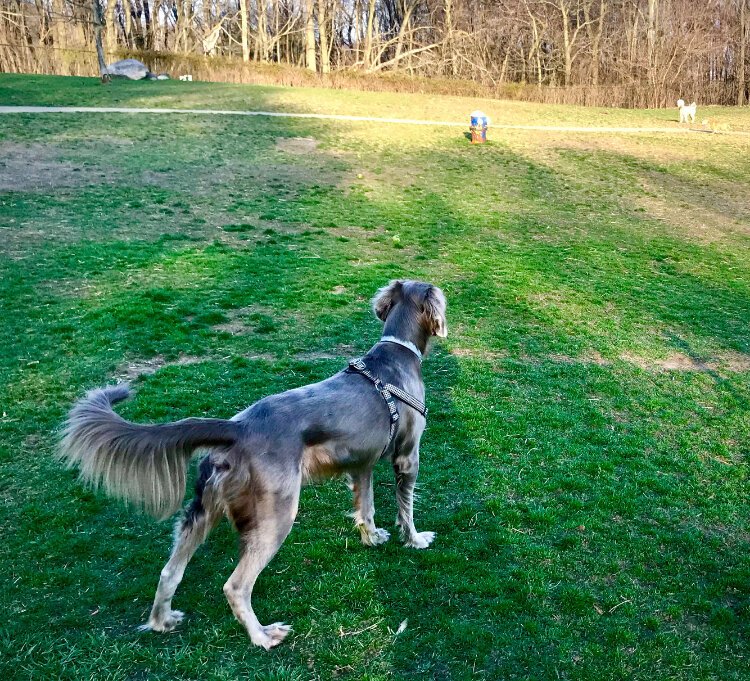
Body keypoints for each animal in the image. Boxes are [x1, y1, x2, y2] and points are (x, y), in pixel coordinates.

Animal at [60, 280, 446, 648]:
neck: (397, 353)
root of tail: (237, 428)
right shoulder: (407, 455)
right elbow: (405, 508)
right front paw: (415, 540)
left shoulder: (361, 464)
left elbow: (365, 507)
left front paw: (372, 537)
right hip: (277, 515)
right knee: (236, 585)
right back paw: (262, 636)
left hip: (203, 511)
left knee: (170, 571)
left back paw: (162, 621)